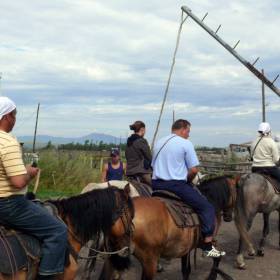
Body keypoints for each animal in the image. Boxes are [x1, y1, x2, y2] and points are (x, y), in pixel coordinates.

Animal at [105, 176, 238, 278]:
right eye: (235, 193)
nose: (229, 217)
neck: (210, 199)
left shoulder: (186, 249)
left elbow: (186, 271)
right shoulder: (204, 242)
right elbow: (217, 257)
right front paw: (212, 276)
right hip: (149, 261)